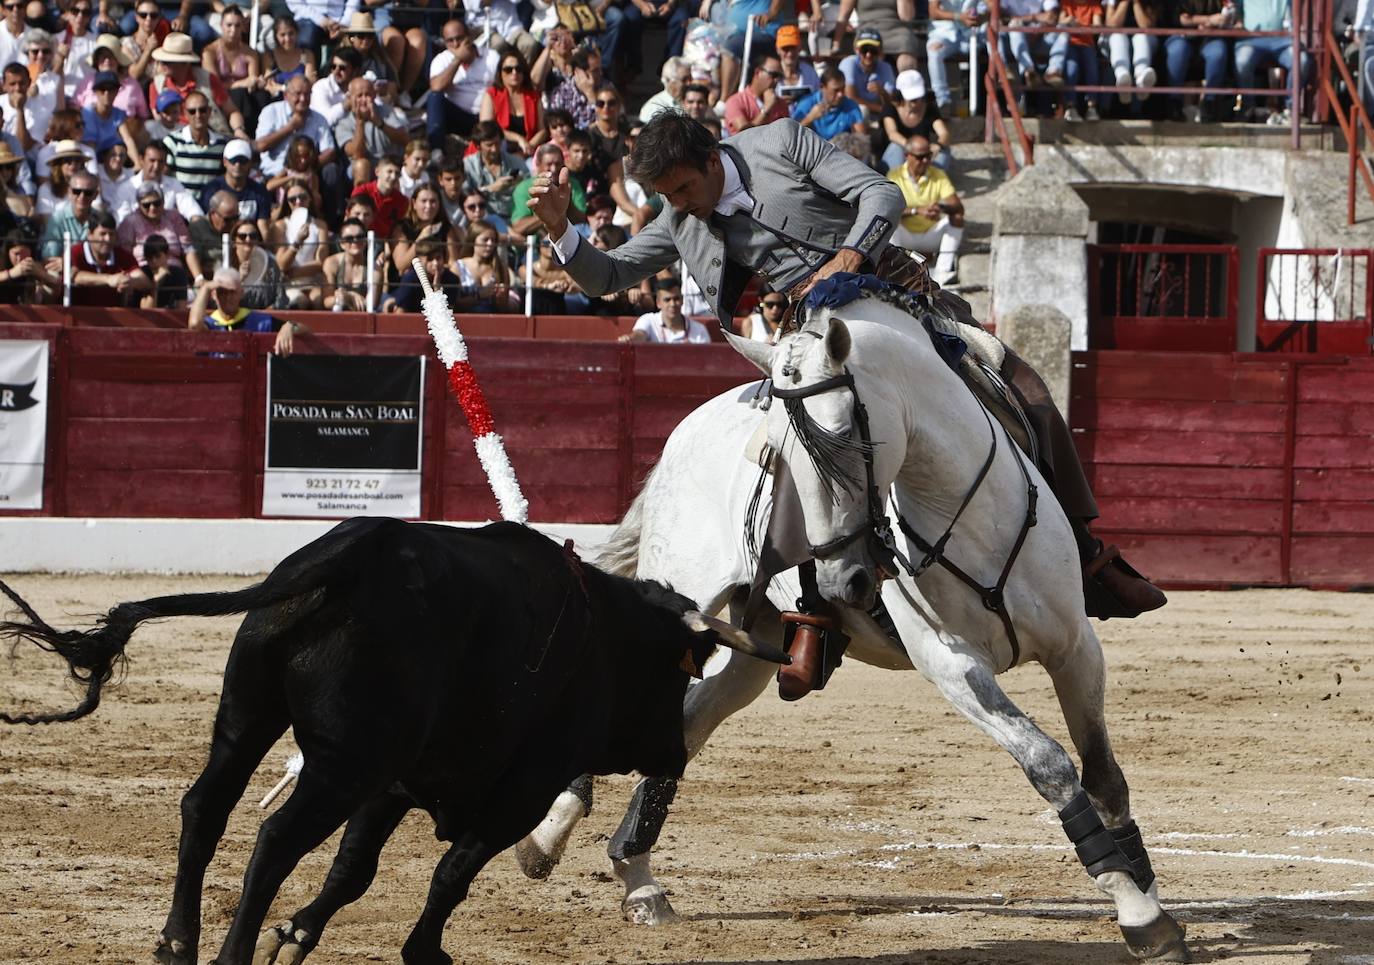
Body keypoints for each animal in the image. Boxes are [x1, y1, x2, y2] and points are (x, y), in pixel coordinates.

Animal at [0, 516, 785, 962]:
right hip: (341, 764)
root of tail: (346, 559)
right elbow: (453, 872)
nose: (674, 752)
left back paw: (176, 943)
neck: (605, 637)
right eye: (678, 669)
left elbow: (354, 870)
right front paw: (424, 951)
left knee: (206, 806)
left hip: (247, 718)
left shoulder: (395, 785)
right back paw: (229, 953)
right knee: (275, 838)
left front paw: (296, 937)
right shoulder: (516, 793)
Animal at [519, 296, 1187, 965]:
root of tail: (686, 431)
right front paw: (1138, 914)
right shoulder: (953, 666)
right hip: (689, 594)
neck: (967, 511)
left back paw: (634, 879)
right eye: (777, 457)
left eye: (843, 439)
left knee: (686, 720)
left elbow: (1103, 774)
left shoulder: (1076, 648)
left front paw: (1147, 893)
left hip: (753, 649)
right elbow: (1050, 763)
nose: (842, 582)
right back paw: (554, 841)